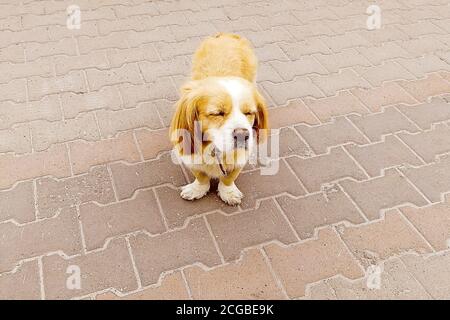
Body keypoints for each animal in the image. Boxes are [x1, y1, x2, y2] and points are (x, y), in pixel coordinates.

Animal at [169, 32, 268, 206]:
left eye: (249, 113)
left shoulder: (240, 158)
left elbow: (229, 178)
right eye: (217, 113)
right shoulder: (191, 157)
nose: (242, 134)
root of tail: (227, 34)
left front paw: (228, 192)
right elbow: (200, 176)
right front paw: (198, 189)